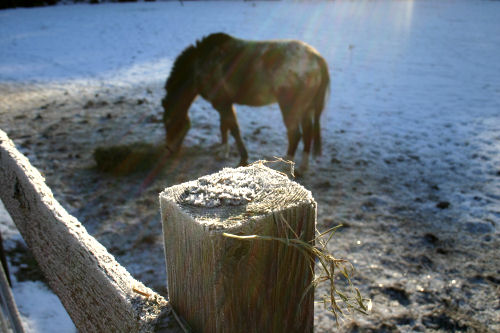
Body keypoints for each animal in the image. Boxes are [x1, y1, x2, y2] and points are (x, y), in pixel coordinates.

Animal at [162, 32, 330, 172]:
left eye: (168, 122)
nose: (169, 148)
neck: (202, 65)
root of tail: (317, 58)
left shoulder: (222, 103)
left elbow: (233, 129)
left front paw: (242, 158)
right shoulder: (224, 103)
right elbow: (224, 126)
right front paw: (223, 151)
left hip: (289, 106)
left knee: (295, 135)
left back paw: (285, 165)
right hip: (306, 107)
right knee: (308, 132)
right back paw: (302, 166)